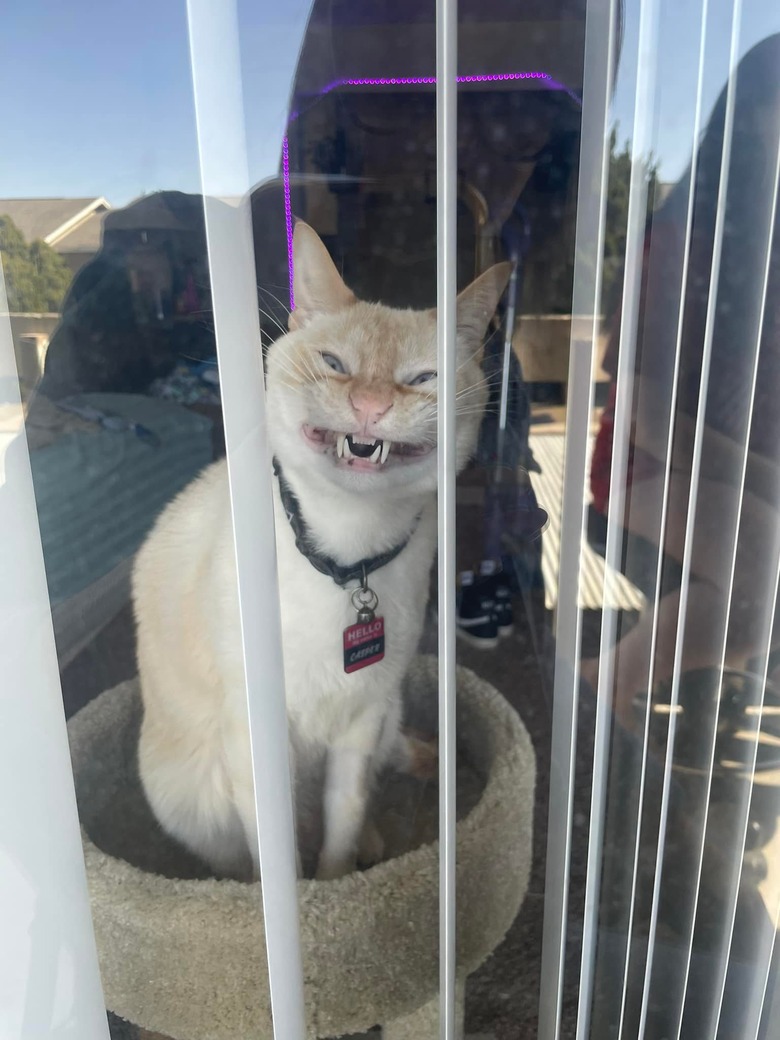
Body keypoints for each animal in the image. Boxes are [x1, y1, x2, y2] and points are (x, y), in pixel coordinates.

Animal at [134, 223, 513, 881]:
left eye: (422, 379)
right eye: (335, 365)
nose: (370, 407)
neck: (346, 559)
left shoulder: (360, 720)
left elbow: (344, 816)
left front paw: (338, 882)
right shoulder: (258, 739)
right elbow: (280, 855)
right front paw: (310, 897)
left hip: (385, 712)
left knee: (383, 773)